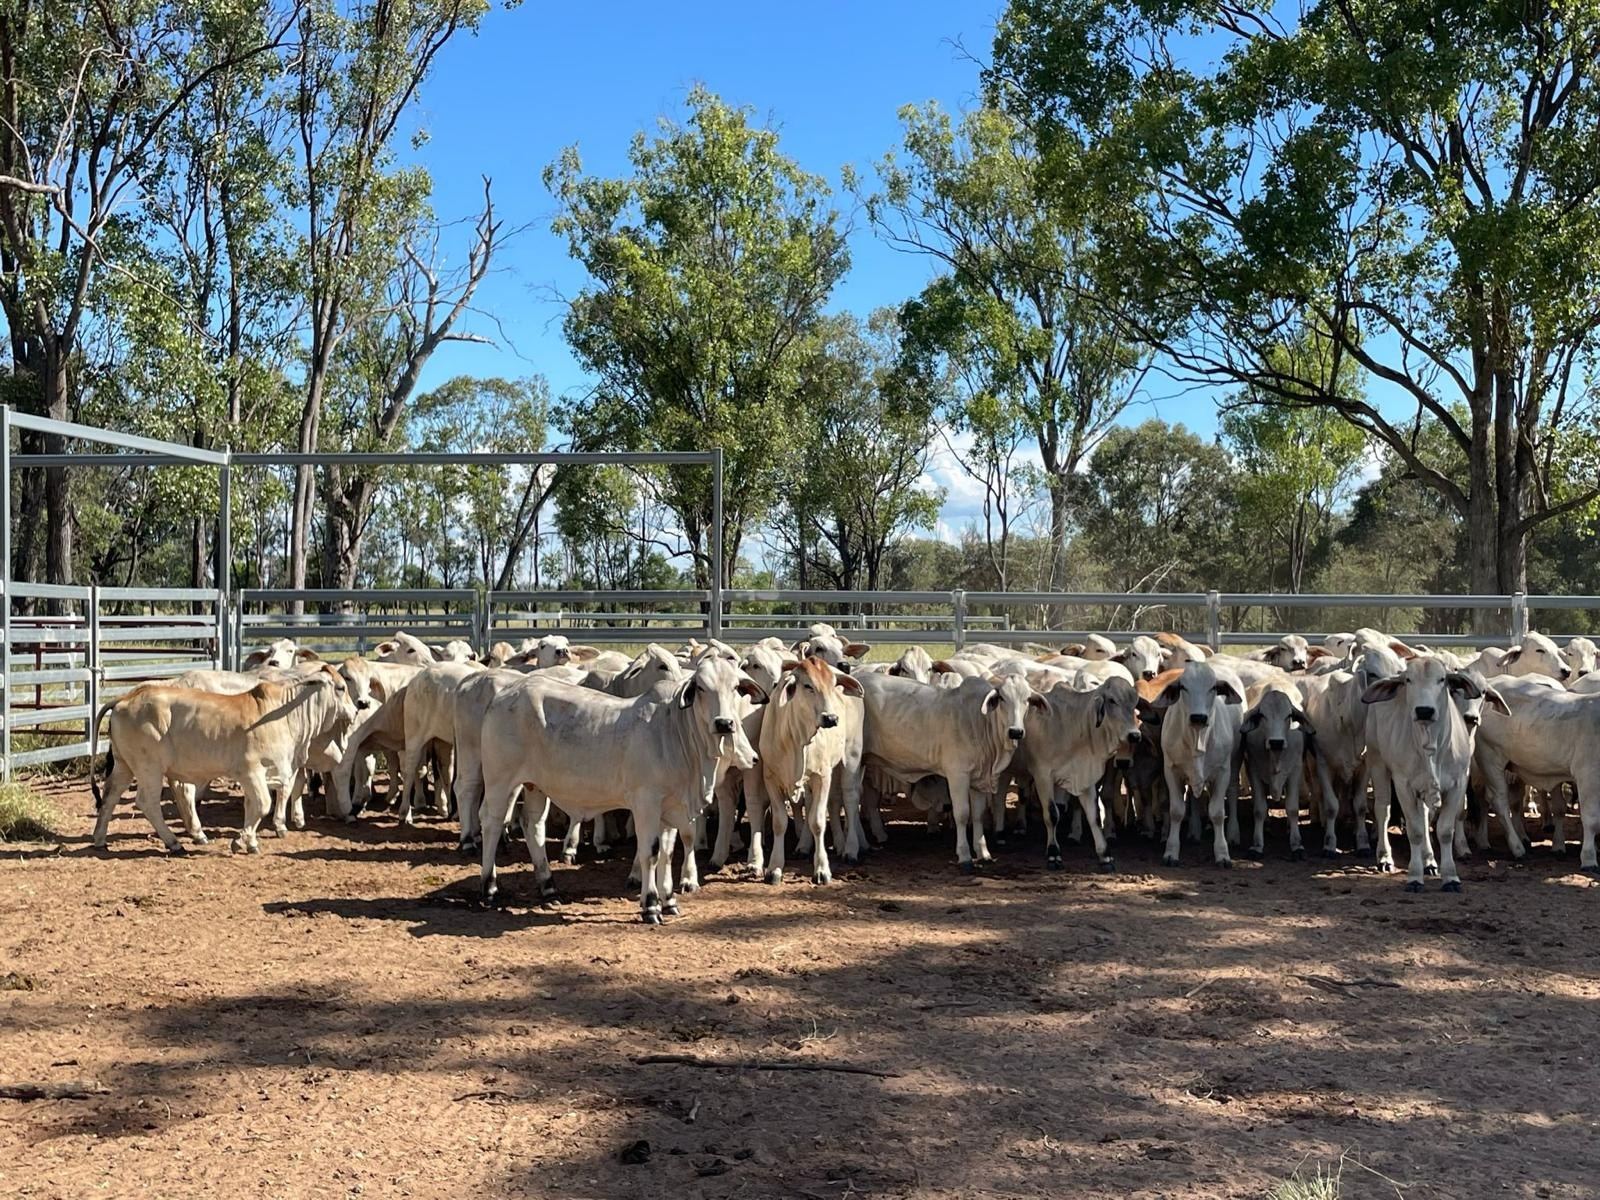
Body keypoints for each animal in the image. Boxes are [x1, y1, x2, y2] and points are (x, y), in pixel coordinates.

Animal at [90, 668, 355, 854]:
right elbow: (263, 804)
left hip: (125, 765)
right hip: (149, 768)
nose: (355, 710)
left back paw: (100, 839)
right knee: (149, 802)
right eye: (341, 687)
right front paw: (240, 841)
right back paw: (174, 842)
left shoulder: (265, 774)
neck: (284, 714)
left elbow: (253, 805)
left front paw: (251, 842)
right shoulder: (251, 771)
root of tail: (125, 698)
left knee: (110, 795)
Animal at [475, 656, 765, 921]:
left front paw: (669, 900)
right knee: (491, 821)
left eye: (736, 687)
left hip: (535, 786)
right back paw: (489, 888)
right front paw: (651, 905)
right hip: (501, 780)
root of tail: (505, 693)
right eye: (702, 687)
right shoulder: (647, 802)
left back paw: (548, 887)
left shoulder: (672, 807)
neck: (676, 733)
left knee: (532, 824)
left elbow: (668, 853)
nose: (724, 723)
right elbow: (650, 852)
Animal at [856, 670, 1045, 873]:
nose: (1015, 732)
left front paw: (983, 853)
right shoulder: (958, 775)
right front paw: (965, 856)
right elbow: (962, 814)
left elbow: (978, 814)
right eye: (1002, 698)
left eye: (1027, 699)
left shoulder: (978, 780)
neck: (980, 721)